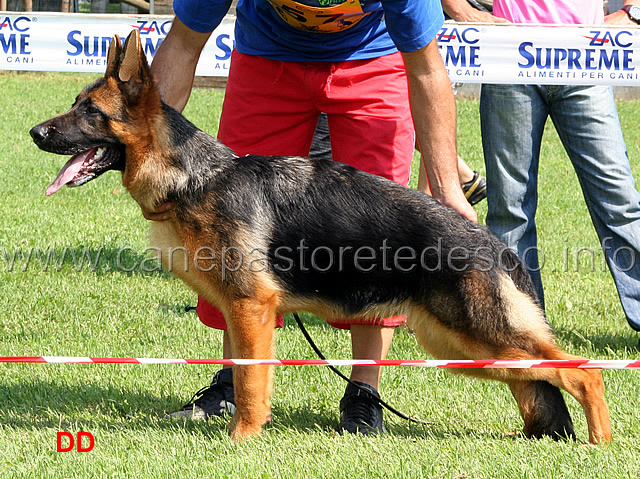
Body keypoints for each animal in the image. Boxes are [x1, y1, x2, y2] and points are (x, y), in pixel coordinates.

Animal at [30, 29, 608, 442]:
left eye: (90, 113)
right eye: (75, 105)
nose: (34, 132)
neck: (197, 176)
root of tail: (495, 246)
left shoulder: (252, 307)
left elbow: (251, 382)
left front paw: (241, 441)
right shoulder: (243, 311)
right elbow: (244, 374)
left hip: (476, 334)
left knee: (582, 371)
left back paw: (598, 442)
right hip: (459, 344)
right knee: (533, 378)